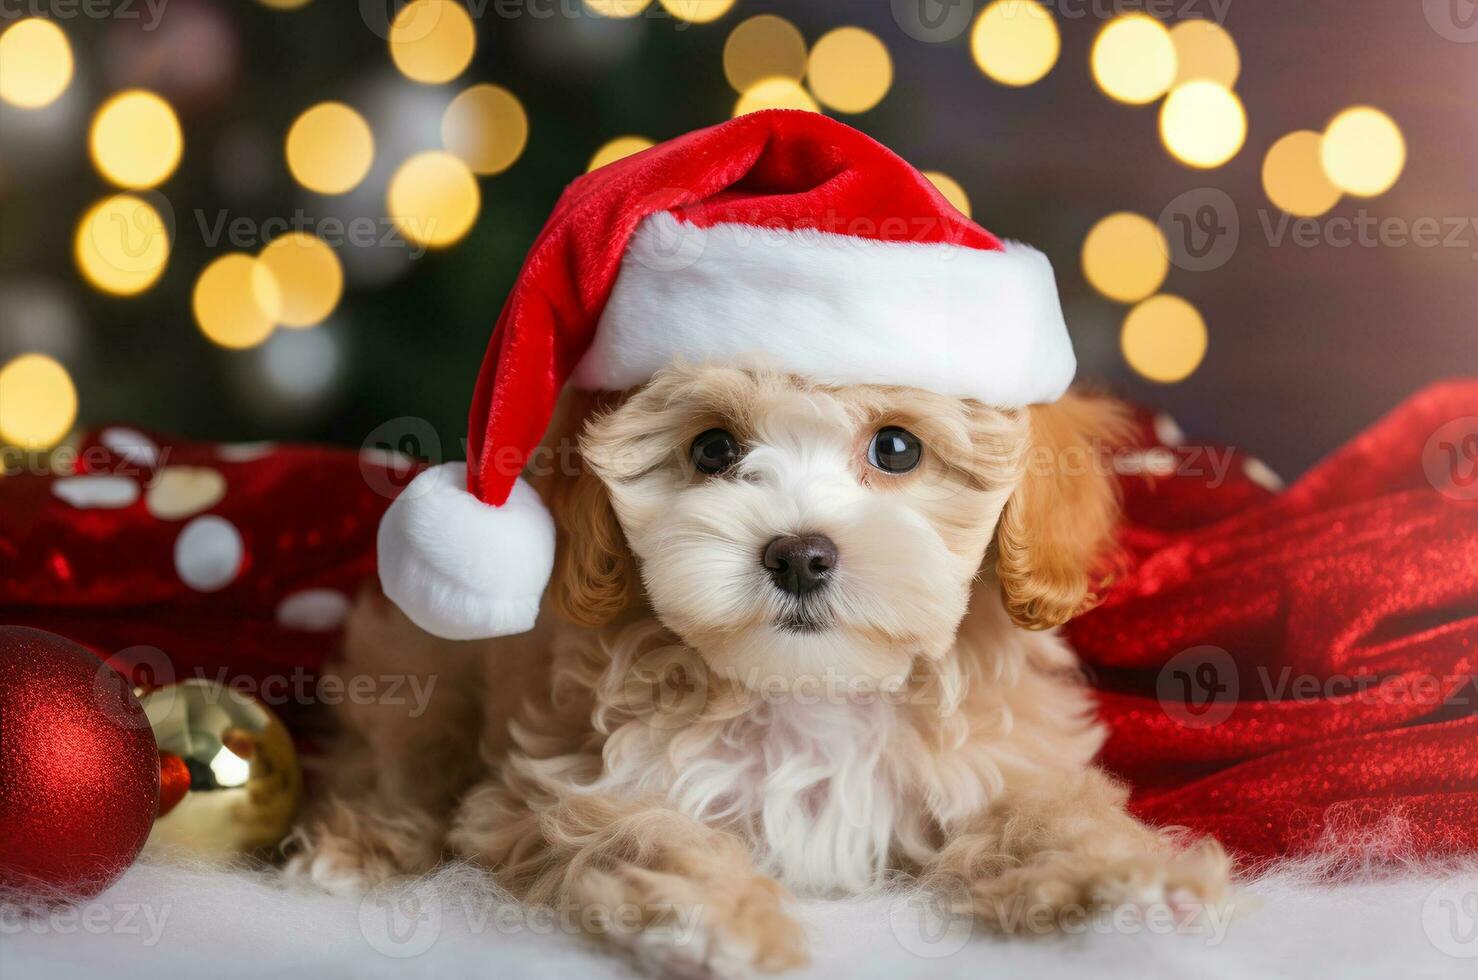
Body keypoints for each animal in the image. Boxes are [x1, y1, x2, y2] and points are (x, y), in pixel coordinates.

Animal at [285, 363, 1223, 975]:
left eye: (896, 448)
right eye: (711, 449)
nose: (801, 555)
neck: (812, 688)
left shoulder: (1001, 761)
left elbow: (1048, 814)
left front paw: (1138, 885)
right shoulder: (557, 787)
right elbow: (642, 830)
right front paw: (724, 923)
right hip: (425, 661)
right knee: (394, 759)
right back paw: (358, 847)